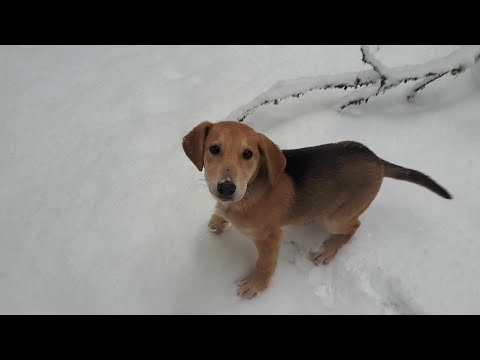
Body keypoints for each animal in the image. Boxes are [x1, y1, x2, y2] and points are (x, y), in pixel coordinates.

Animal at [182, 120, 452, 298]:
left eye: (248, 154)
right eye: (214, 149)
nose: (226, 188)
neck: (249, 190)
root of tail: (379, 161)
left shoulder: (270, 237)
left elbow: (264, 265)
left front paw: (255, 286)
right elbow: (219, 213)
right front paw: (216, 221)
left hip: (337, 218)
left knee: (354, 226)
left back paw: (327, 251)